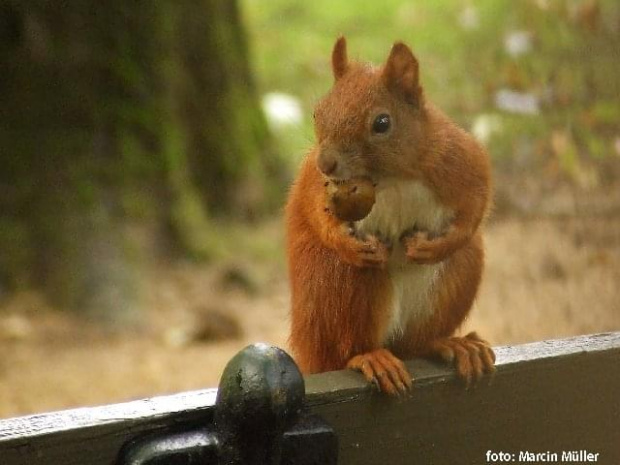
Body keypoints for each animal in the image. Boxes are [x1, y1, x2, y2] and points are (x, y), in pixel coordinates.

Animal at [286, 38, 494, 394]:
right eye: (318, 112)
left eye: (382, 123)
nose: (326, 163)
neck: (391, 177)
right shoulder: (313, 183)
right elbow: (314, 211)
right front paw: (346, 242)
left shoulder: (458, 157)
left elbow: (476, 206)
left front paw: (434, 247)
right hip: (342, 284)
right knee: (347, 349)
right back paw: (370, 357)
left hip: (459, 275)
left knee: (417, 344)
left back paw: (450, 344)